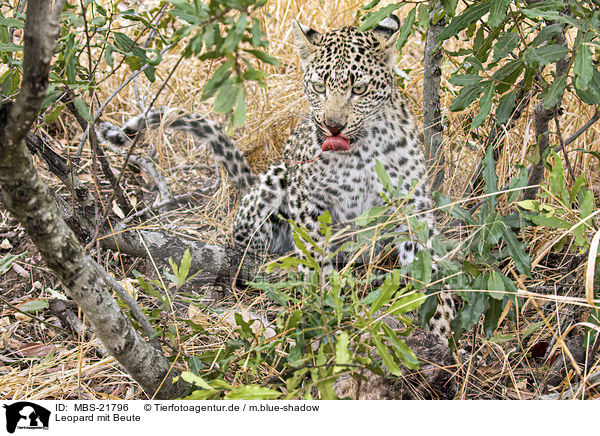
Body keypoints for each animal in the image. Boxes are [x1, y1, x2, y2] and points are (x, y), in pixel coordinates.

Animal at [97, 14, 454, 344]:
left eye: (359, 89)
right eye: (320, 87)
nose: (333, 126)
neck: (362, 148)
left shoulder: (412, 207)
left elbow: (431, 269)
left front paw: (443, 334)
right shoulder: (308, 201)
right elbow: (315, 259)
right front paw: (322, 306)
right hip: (276, 180)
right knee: (246, 250)